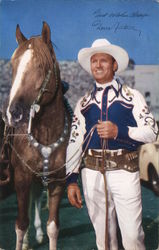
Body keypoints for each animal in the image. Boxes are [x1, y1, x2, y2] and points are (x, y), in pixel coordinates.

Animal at [2, 22, 71, 250]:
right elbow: (21, 224)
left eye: (40, 66)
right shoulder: (22, 178)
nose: (14, 113)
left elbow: (53, 226)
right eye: (13, 66)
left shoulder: (57, 181)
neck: (46, 135)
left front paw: (43, 233)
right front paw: (22, 240)